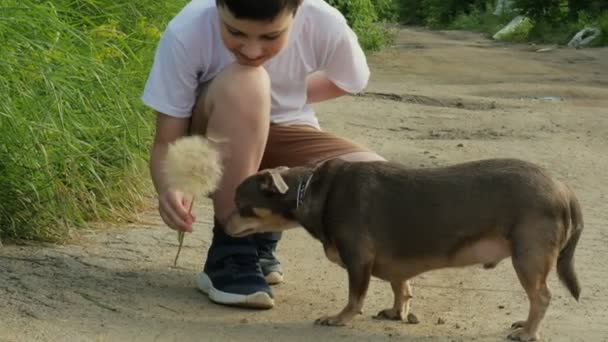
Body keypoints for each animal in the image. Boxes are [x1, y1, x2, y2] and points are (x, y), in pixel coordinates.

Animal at [226, 158, 580, 340]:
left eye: (241, 206)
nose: (221, 223)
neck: (312, 191)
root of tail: (564, 190)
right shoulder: (395, 265)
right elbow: (401, 287)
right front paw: (398, 312)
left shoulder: (358, 259)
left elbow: (354, 297)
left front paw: (340, 318)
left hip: (528, 258)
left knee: (542, 297)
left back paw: (529, 332)